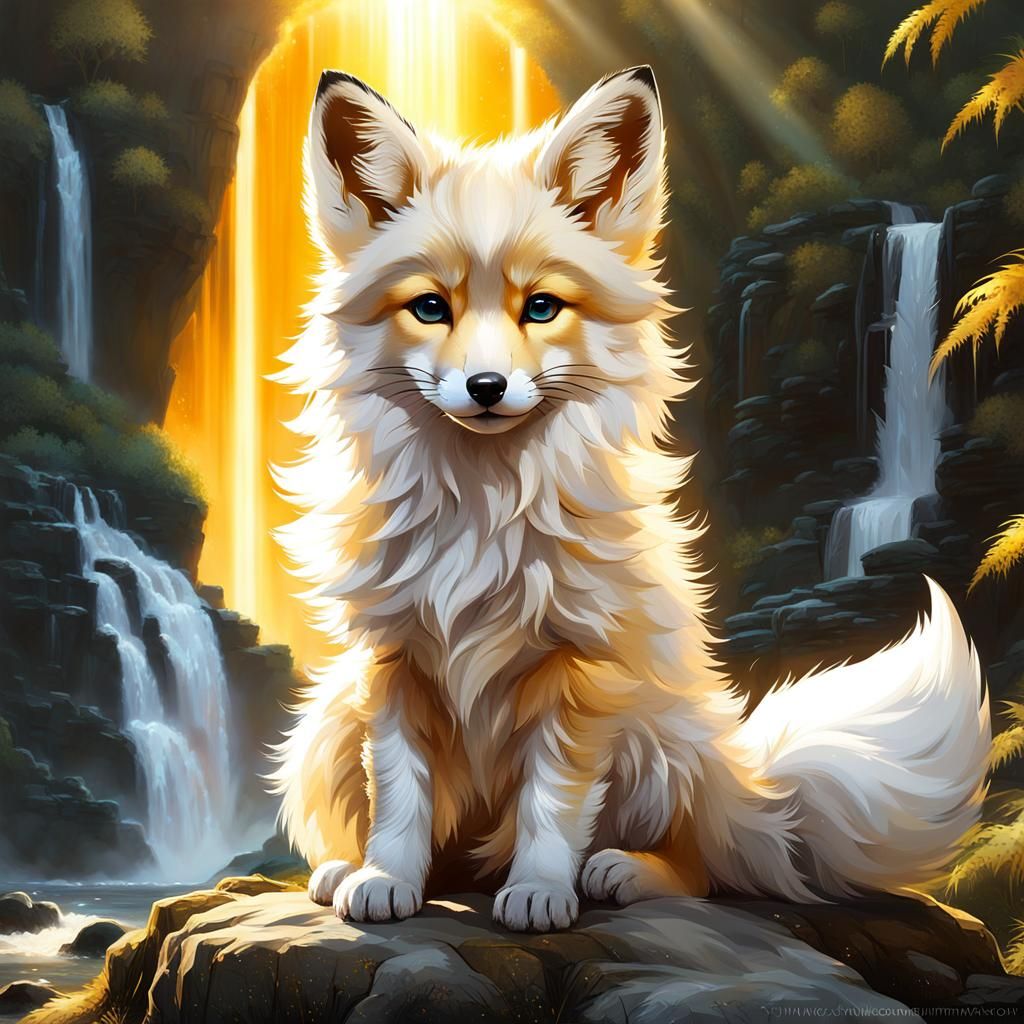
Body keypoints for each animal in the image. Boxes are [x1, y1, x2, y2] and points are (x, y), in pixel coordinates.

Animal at [269, 65, 991, 933]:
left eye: (541, 307)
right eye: (430, 307)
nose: (486, 387)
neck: (483, 513)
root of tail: (749, 787)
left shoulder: (583, 670)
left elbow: (551, 806)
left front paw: (540, 892)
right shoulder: (394, 660)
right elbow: (402, 798)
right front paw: (386, 879)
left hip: (658, 738)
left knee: (702, 868)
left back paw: (620, 872)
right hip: (328, 719)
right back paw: (349, 870)